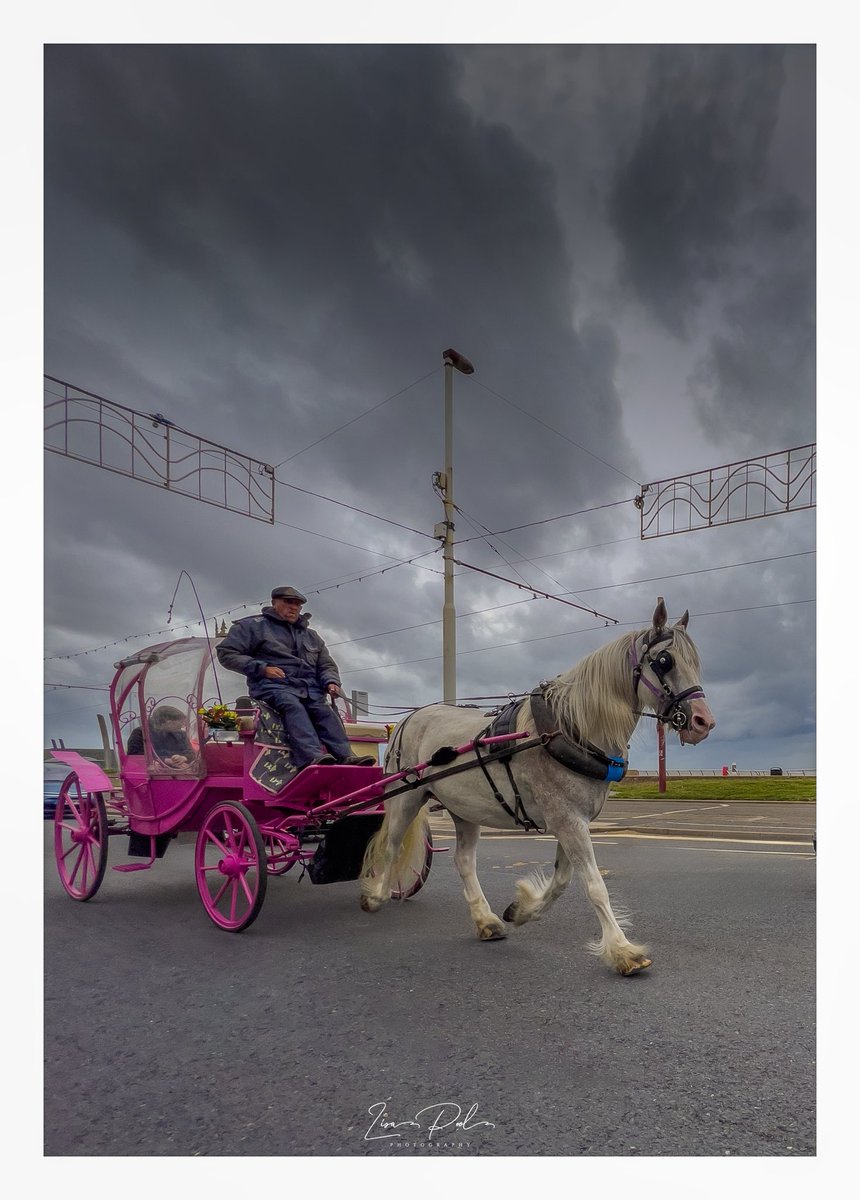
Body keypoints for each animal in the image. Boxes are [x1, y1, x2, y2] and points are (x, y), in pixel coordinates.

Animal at [359, 600, 714, 974]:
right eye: (665, 660)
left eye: (694, 662)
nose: (703, 721)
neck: (569, 728)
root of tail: (408, 718)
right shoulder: (567, 820)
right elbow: (594, 885)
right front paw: (622, 949)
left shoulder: (573, 820)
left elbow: (562, 881)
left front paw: (522, 910)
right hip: (406, 798)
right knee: (391, 847)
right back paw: (376, 895)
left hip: (465, 810)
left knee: (464, 861)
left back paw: (485, 919)